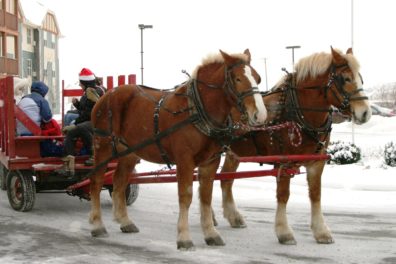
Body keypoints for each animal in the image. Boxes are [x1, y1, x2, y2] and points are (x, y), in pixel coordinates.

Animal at [89, 49, 268, 250]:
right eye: (237, 79)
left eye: (258, 78)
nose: (260, 115)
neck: (197, 110)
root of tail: (106, 95)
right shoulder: (184, 161)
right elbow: (186, 196)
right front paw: (184, 237)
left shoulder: (210, 162)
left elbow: (206, 197)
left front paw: (211, 233)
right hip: (103, 146)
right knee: (96, 181)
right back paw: (97, 225)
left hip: (129, 153)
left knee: (119, 182)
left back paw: (125, 221)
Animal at [217, 46, 372, 244]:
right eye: (345, 78)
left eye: (361, 78)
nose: (365, 113)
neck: (297, 111)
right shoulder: (285, 161)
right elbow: (283, 195)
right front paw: (284, 232)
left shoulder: (317, 162)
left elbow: (315, 194)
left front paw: (321, 231)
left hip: (232, 153)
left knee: (224, 179)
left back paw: (232, 217)